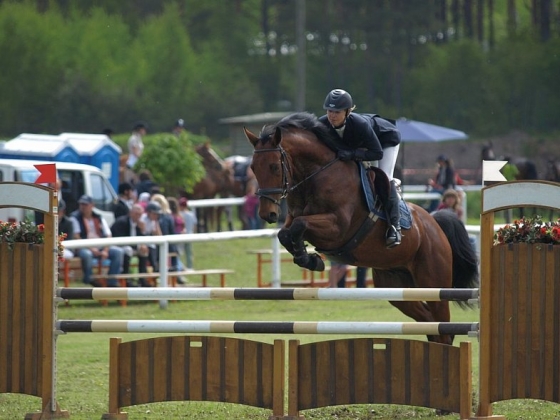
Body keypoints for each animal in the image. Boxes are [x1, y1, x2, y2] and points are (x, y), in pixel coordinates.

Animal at [245, 111, 476, 344]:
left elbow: (299, 226)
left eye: (274, 166)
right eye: (253, 168)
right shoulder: (294, 218)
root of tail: (434, 223)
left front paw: (309, 259)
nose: (267, 214)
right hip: (395, 286)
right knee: (429, 322)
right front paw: (309, 259)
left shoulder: (337, 227)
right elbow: (286, 233)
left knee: (442, 325)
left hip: (433, 282)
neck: (317, 174)